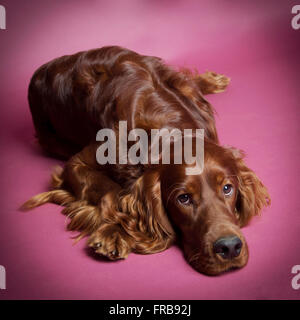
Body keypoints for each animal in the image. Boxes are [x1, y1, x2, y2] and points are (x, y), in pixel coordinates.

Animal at [21, 45, 270, 276]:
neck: (169, 128)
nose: (229, 247)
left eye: (228, 188)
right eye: (183, 198)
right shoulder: (76, 163)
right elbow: (111, 191)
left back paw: (211, 80)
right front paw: (113, 232)